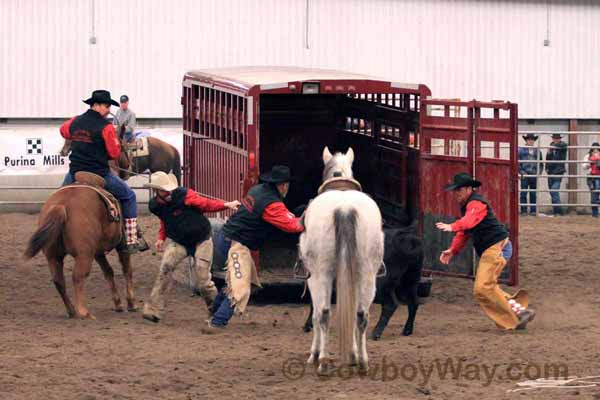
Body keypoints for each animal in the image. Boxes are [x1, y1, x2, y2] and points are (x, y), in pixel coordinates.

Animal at [24, 144, 136, 318]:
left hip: (53, 255)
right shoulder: (121, 245)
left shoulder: (97, 252)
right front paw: (130, 302)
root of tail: (62, 205)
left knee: (58, 280)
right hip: (84, 255)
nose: (129, 168)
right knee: (78, 277)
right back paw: (83, 312)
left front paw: (118, 303)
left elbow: (108, 271)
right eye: (125, 148)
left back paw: (71, 310)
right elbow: (126, 269)